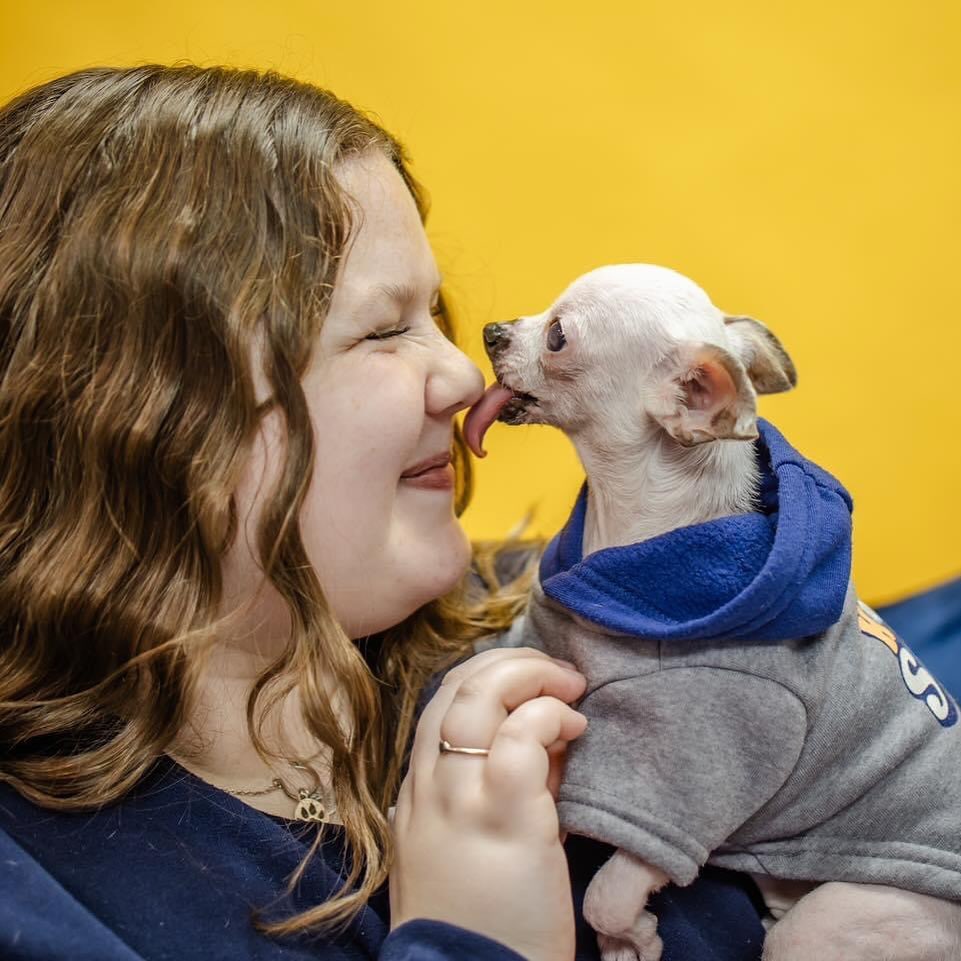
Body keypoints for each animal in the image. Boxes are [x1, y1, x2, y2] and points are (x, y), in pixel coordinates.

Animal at [464, 266, 960, 960]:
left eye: (558, 336)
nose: (492, 330)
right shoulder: (548, 631)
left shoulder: (686, 781)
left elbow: (609, 889)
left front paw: (629, 938)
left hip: (843, 920)